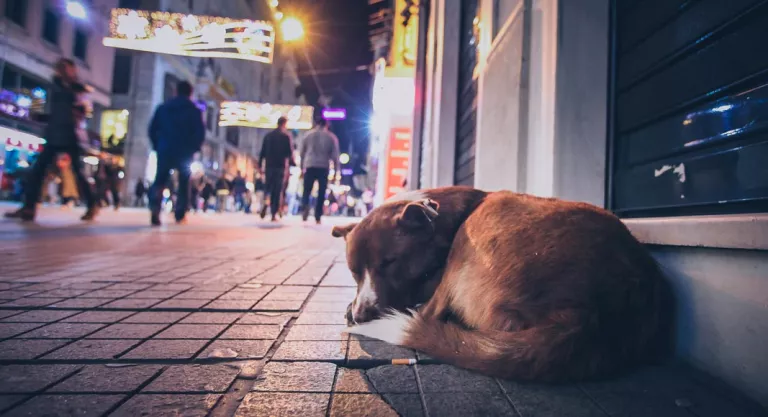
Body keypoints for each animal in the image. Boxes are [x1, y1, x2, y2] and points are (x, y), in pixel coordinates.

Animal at [332, 187, 668, 382]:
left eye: (389, 262)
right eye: (353, 272)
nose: (361, 315)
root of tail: (585, 316)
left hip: (483, 219)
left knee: (429, 313)